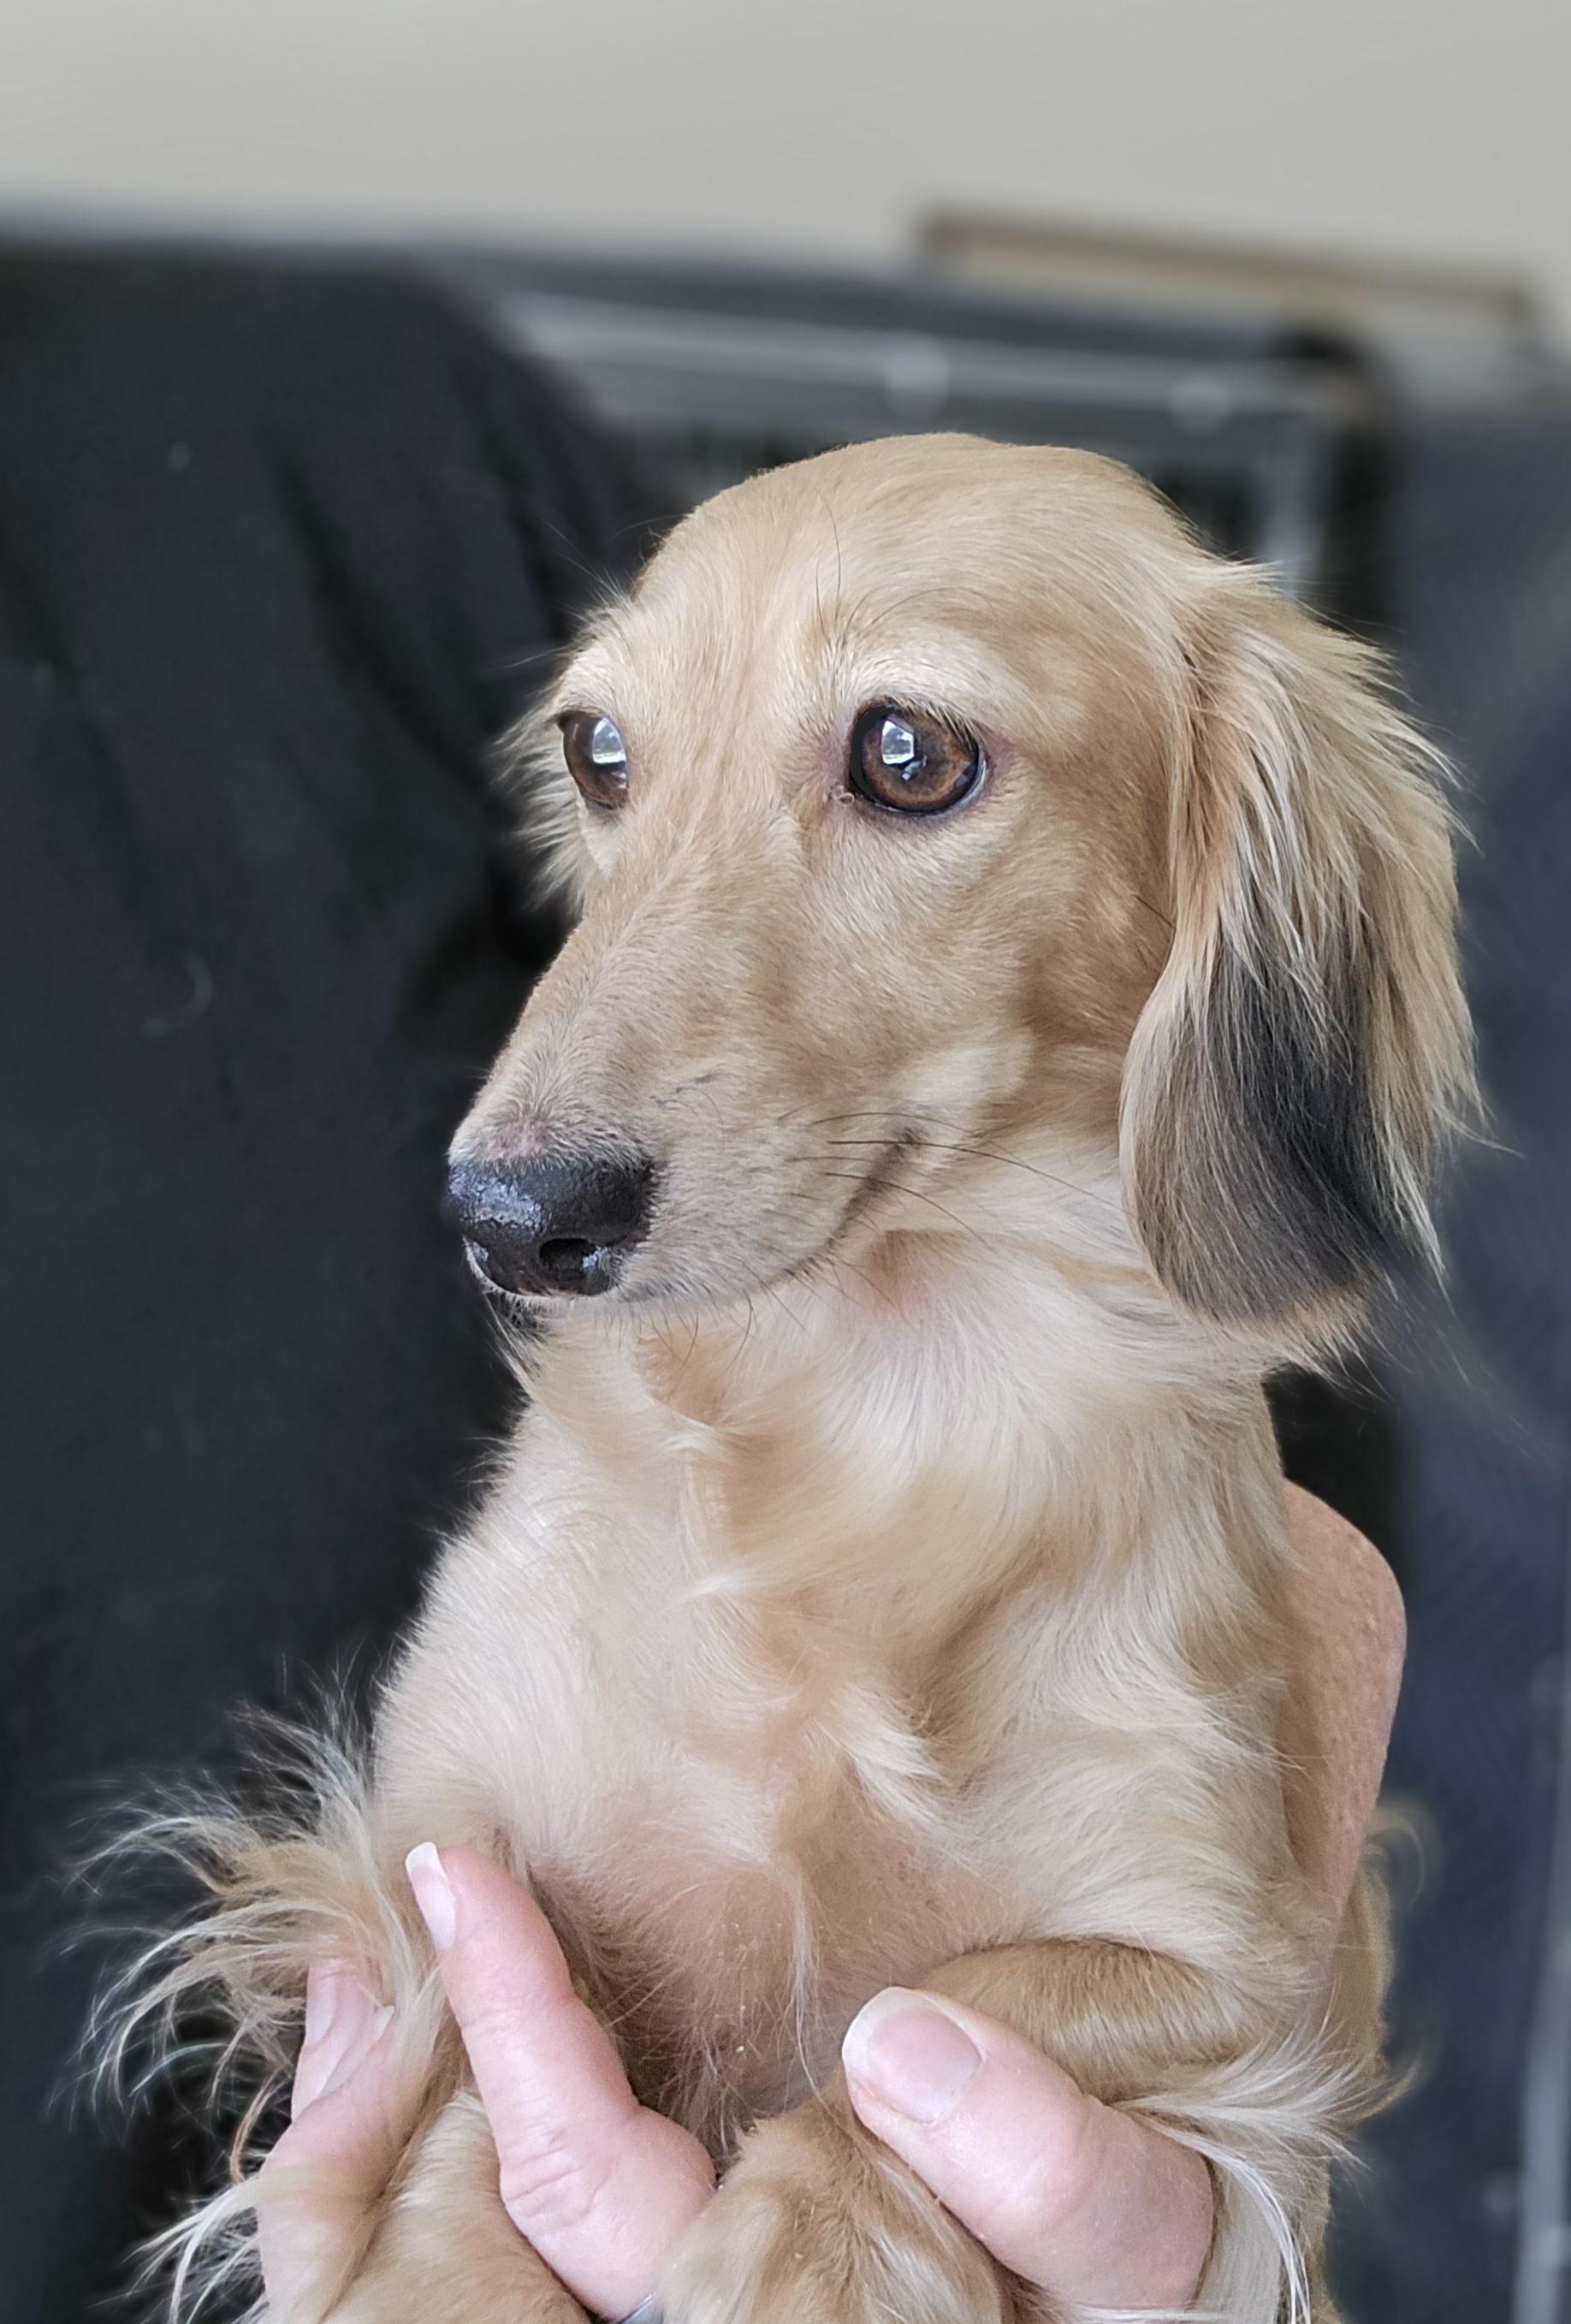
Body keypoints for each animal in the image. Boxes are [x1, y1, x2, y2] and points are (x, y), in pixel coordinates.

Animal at [116, 434, 1470, 2324]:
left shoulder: (1235, 1965)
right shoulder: (430, 1852)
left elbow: (931, 2023)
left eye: (909, 753)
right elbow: (466, 2077)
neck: (877, 1412)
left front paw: (810, 2249)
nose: (506, 1218)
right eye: (597, 750)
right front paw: (447, 2270)